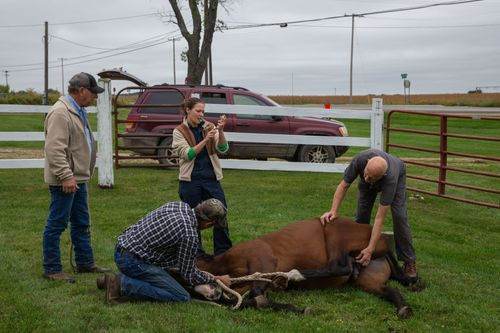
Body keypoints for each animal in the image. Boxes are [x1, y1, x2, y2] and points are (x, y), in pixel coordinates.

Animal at [194, 217, 414, 318]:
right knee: (390, 289)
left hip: (333, 229)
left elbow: (258, 295)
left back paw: (294, 274)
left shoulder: (262, 261)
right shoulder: (246, 282)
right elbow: (248, 297)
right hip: (367, 280)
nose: (210, 294)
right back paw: (403, 307)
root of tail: (381, 238)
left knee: (339, 266)